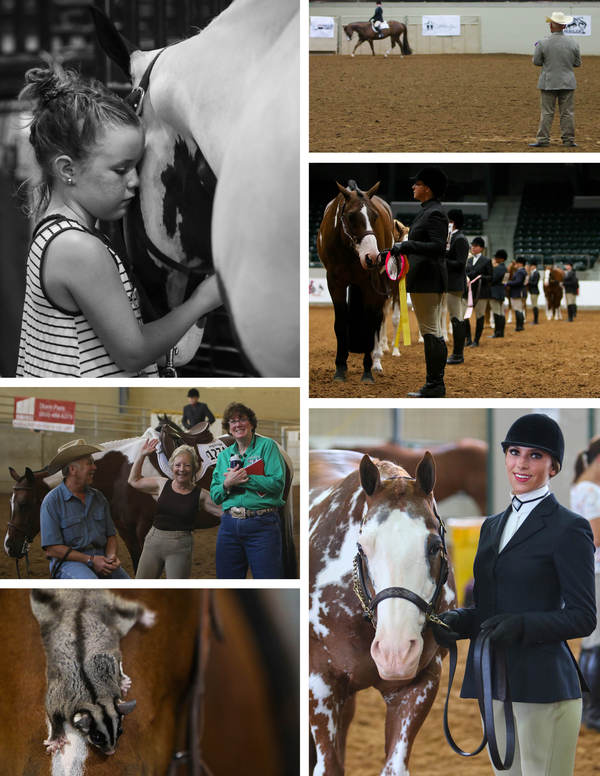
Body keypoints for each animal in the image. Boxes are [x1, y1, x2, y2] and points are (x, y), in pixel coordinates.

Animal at [4, 422, 296, 580]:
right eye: (12, 502)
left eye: (25, 504)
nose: (9, 545)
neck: (120, 474)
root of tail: (280, 450)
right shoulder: (127, 533)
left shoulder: (145, 530)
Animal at [316, 185, 396, 384]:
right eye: (351, 216)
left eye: (375, 216)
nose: (373, 257)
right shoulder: (335, 283)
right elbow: (340, 324)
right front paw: (340, 368)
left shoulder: (369, 285)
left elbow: (369, 325)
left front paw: (367, 371)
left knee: (377, 320)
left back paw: (376, 361)